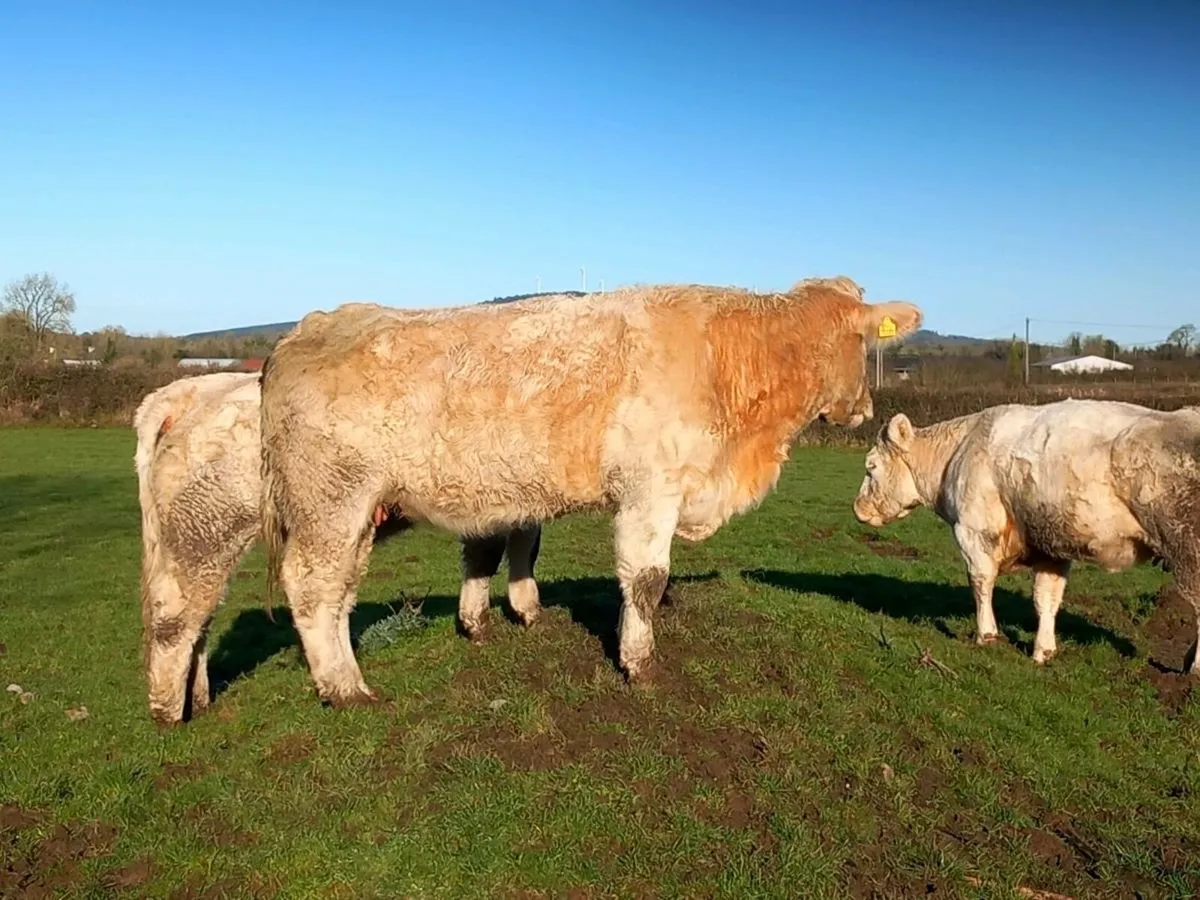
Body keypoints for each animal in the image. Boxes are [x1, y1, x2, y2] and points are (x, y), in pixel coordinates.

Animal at [134, 371, 543, 726]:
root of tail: (184, 393)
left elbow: (495, 551)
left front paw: (483, 621)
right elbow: (511, 548)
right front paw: (524, 613)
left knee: (201, 616)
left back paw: (198, 701)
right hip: (210, 528)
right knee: (177, 616)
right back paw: (169, 712)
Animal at [257, 278, 922, 708]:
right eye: (865, 345)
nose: (865, 408)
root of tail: (306, 329)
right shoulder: (650, 491)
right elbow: (646, 579)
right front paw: (639, 663)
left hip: (355, 513)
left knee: (340, 592)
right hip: (329, 503)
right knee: (313, 588)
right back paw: (345, 689)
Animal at [852, 399, 1200, 669]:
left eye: (871, 467)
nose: (858, 508)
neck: (960, 450)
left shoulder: (974, 531)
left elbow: (981, 584)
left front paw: (986, 635)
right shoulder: (1051, 548)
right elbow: (1046, 599)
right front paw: (1043, 651)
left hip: (1188, 553)